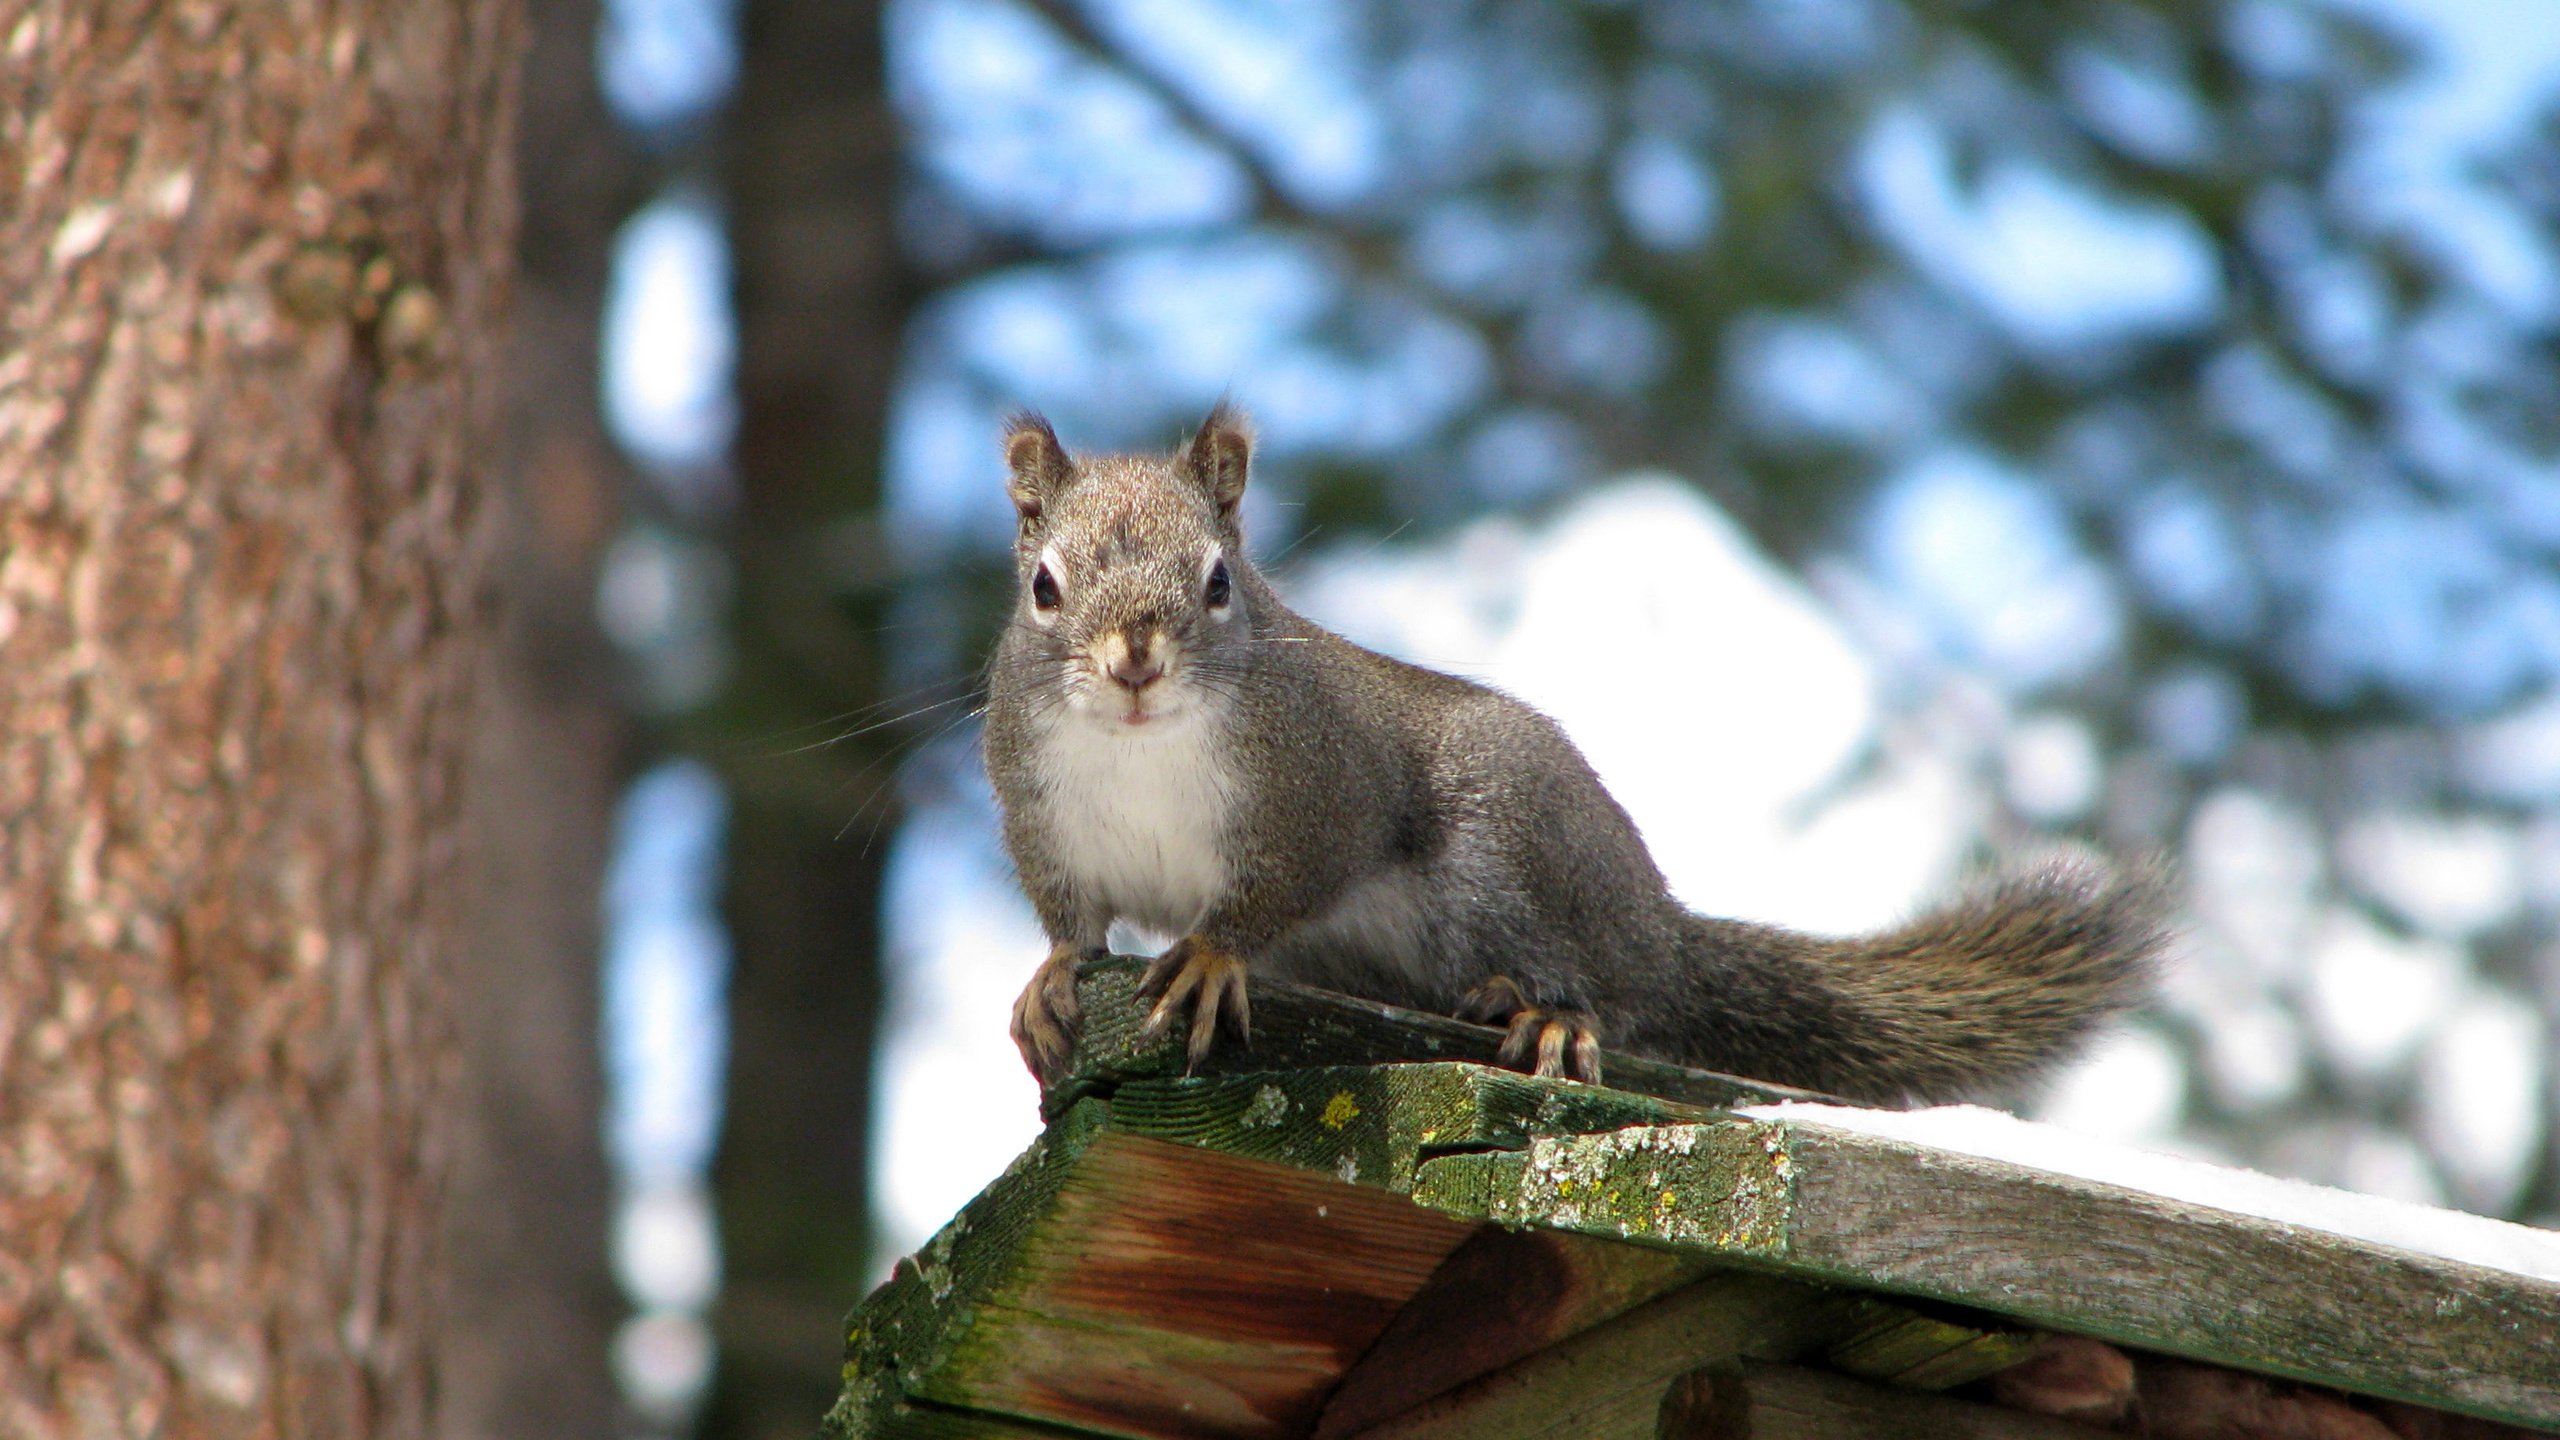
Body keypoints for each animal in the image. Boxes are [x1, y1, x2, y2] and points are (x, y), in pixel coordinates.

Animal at [977, 404, 2160, 1096]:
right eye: (1043, 588)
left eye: (1219, 583)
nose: (1134, 663)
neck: (1141, 749)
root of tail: (1656, 923)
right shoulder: (1045, 820)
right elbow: (1073, 922)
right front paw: (1049, 978)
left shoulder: (1321, 791)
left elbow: (1272, 893)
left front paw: (1214, 957)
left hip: (1511, 853)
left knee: (1609, 991)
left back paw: (1546, 1013)